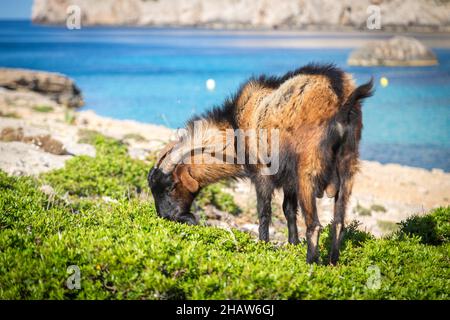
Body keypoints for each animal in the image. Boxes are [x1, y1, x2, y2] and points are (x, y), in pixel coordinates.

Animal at [148, 63, 372, 264]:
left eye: (170, 187)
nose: (167, 217)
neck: (236, 130)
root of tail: (341, 96)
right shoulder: (288, 180)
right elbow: (288, 210)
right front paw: (293, 244)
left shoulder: (263, 173)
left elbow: (264, 212)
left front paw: (263, 246)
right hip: (348, 164)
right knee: (339, 223)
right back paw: (332, 263)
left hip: (308, 167)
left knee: (315, 225)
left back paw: (311, 263)